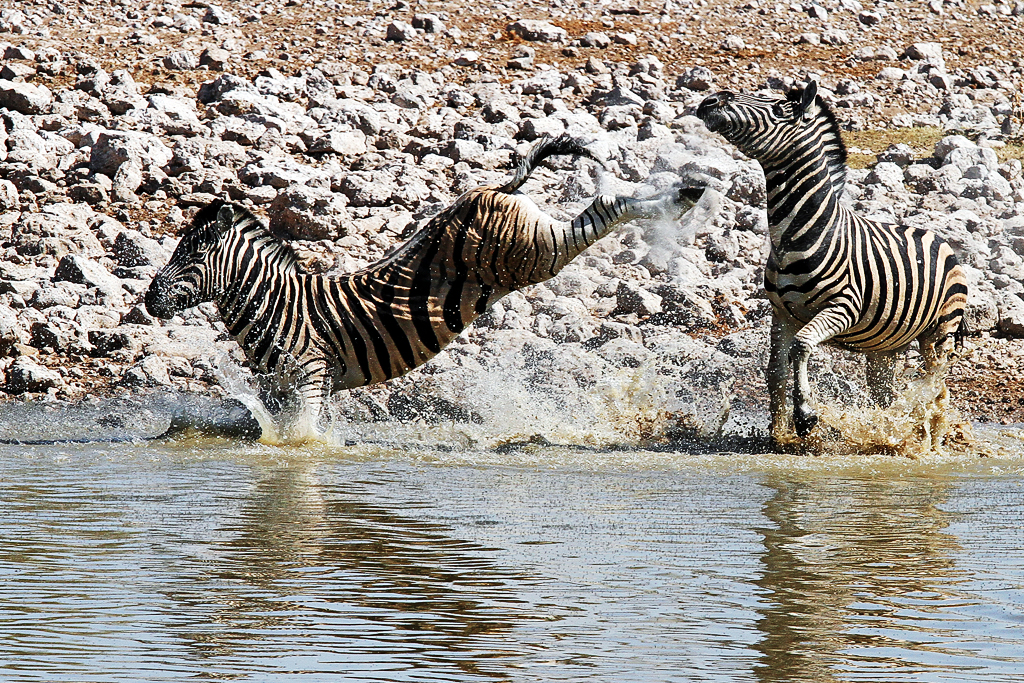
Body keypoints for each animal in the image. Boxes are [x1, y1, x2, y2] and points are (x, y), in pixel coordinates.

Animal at [146, 133, 704, 432]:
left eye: (190, 254)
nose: (149, 299)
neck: (275, 305)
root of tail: (487, 189)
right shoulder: (278, 390)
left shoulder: (309, 377)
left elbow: (303, 442)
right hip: (534, 248)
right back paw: (685, 193)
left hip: (534, 255)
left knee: (607, 204)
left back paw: (684, 196)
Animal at [696, 80, 966, 448]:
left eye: (778, 108)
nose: (709, 100)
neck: (796, 234)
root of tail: (938, 238)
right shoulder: (782, 313)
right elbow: (775, 370)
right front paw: (779, 435)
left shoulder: (843, 307)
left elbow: (801, 347)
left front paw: (805, 416)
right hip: (885, 345)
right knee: (886, 393)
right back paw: (889, 433)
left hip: (939, 332)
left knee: (937, 388)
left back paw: (930, 441)